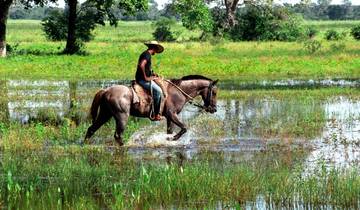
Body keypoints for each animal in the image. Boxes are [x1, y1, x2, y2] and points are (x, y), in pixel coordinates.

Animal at [84, 75, 219, 146]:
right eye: (215, 92)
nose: (214, 109)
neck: (178, 92)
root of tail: (106, 91)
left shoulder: (169, 117)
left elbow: (170, 130)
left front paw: (169, 139)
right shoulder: (172, 114)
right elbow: (184, 128)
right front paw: (172, 139)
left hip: (105, 114)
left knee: (91, 129)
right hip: (122, 117)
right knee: (117, 135)